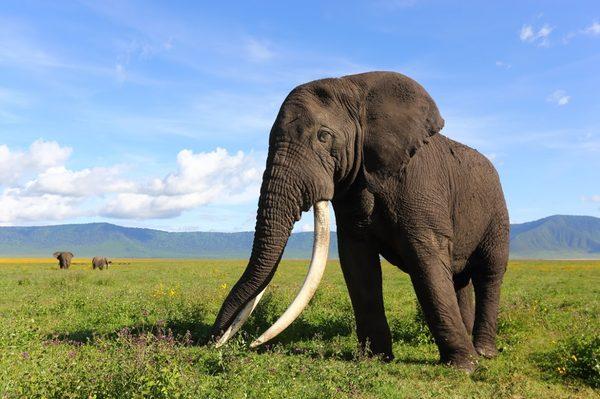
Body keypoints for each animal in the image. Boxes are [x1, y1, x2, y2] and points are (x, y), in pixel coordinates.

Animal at [209, 71, 508, 372]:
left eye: (324, 136)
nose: (213, 340)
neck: (355, 87)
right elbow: (357, 262)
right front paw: (376, 359)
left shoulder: (420, 184)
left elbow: (427, 259)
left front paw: (464, 367)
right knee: (459, 280)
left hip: (497, 210)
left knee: (489, 273)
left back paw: (484, 351)